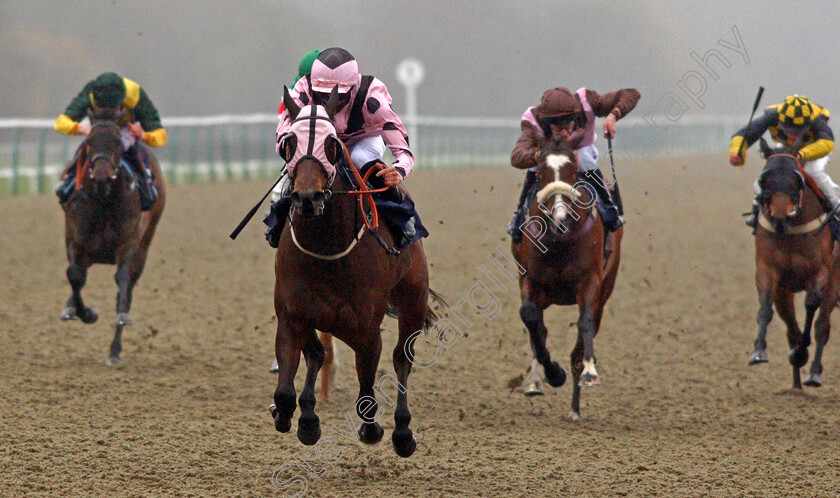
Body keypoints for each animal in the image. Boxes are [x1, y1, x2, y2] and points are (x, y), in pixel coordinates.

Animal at [59, 110, 166, 366]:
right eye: (90, 141)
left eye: (118, 143)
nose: (101, 178)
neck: (103, 202)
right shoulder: (76, 241)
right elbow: (74, 275)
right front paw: (86, 313)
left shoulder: (129, 245)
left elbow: (123, 282)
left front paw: (118, 323)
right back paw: (71, 308)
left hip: (144, 245)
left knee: (126, 290)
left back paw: (114, 350)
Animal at [270, 86, 436, 460]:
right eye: (289, 142)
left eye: (331, 143)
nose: (307, 197)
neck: (326, 250)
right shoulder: (293, 315)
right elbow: (286, 389)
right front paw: (297, 419)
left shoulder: (366, 329)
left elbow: (367, 392)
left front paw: (373, 430)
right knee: (318, 354)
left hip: (413, 300)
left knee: (402, 358)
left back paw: (403, 432)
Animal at [512, 135, 624, 420]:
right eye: (540, 173)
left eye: (573, 171)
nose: (560, 217)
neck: (559, 240)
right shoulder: (530, 280)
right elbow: (531, 320)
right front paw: (552, 373)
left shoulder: (589, 282)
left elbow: (584, 324)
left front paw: (589, 373)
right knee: (536, 331)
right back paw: (536, 380)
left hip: (605, 289)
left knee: (583, 338)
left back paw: (575, 406)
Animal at [752, 137, 836, 390]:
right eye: (765, 179)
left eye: (796, 179)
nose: (780, 217)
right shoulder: (768, 271)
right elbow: (765, 307)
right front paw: (758, 351)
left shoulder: (822, 272)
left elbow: (811, 305)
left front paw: (801, 352)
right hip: (785, 292)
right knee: (790, 326)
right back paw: (797, 382)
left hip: (834, 284)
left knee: (822, 326)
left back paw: (813, 373)